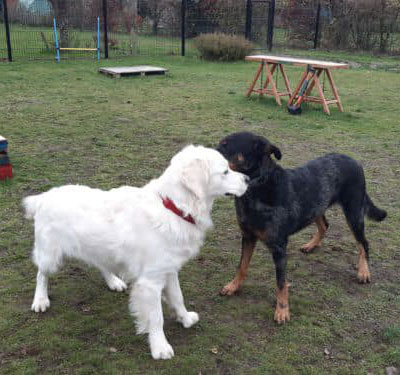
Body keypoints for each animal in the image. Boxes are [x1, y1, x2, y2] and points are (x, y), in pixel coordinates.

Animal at [23, 145, 247, 362]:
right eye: (225, 171)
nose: (248, 179)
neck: (174, 207)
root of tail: (44, 196)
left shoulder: (169, 270)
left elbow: (178, 297)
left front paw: (184, 318)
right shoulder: (151, 281)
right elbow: (156, 317)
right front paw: (160, 347)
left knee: (101, 264)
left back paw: (114, 282)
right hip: (50, 255)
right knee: (41, 274)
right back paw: (40, 300)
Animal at [217, 134, 386, 324]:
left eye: (226, 147)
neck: (258, 186)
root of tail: (355, 161)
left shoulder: (279, 247)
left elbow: (281, 283)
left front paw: (282, 310)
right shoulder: (247, 236)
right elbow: (242, 266)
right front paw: (233, 286)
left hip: (353, 213)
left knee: (363, 243)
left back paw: (363, 271)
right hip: (316, 206)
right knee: (325, 225)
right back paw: (311, 245)